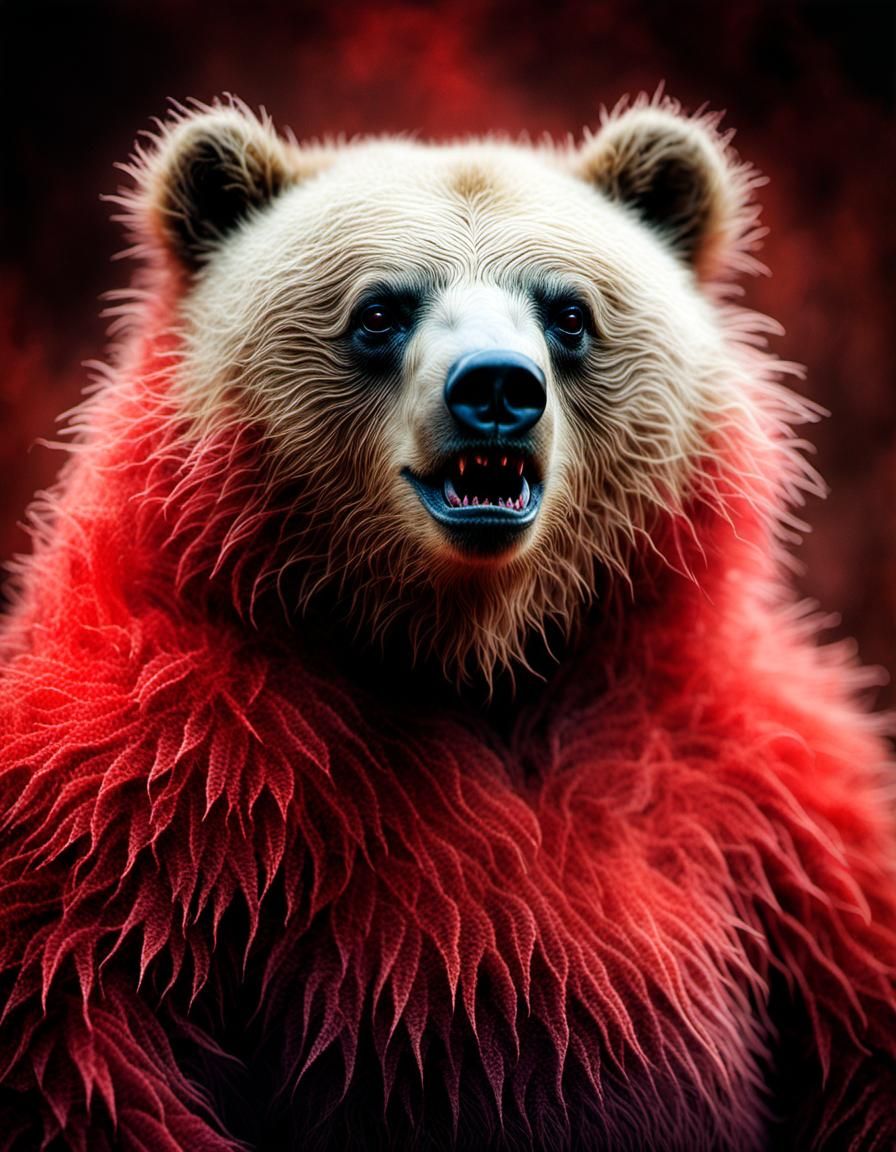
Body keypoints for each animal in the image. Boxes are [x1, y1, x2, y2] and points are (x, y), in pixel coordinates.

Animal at [0, 92, 895, 1151]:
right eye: (380, 310)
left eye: (569, 312)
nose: (497, 389)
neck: (467, 653)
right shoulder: (162, 770)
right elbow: (83, 1027)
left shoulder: (762, 798)